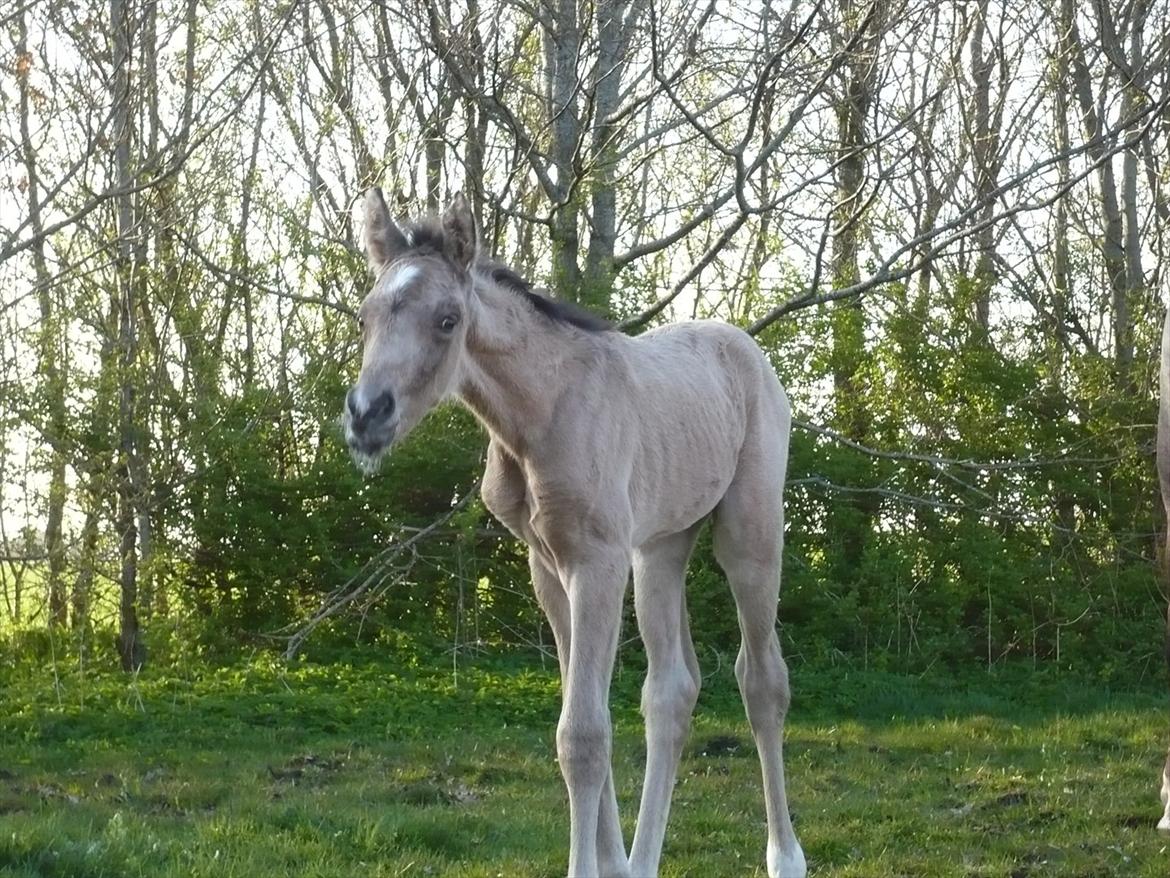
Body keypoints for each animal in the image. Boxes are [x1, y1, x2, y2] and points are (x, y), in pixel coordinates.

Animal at [341, 191, 809, 878]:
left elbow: (582, 733)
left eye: (448, 320)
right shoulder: (550, 566)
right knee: (671, 691)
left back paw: (785, 856)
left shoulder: (596, 560)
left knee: (762, 681)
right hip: (659, 547)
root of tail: (744, 346)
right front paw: (611, 865)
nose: (367, 416)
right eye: (365, 317)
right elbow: (589, 716)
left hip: (750, 533)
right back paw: (643, 863)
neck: (536, 416)